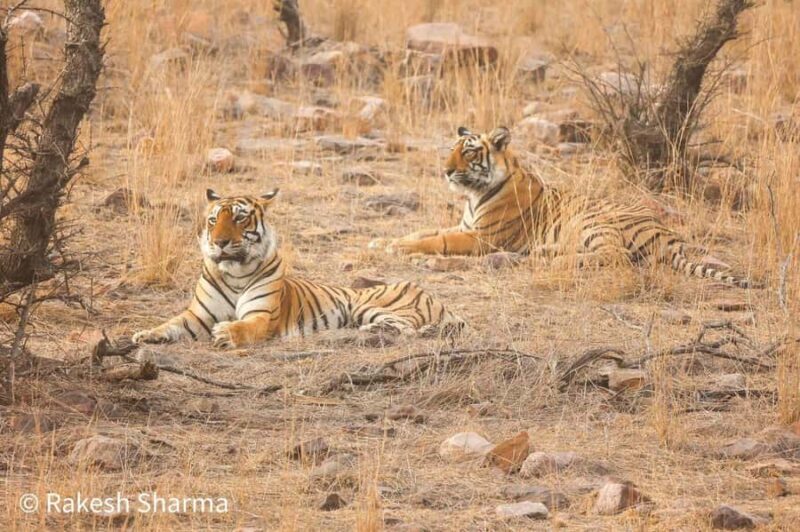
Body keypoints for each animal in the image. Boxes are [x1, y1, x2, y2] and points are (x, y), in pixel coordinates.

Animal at [132, 189, 463, 349]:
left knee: (408, 327)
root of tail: (429, 294)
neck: (235, 272)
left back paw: (371, 331)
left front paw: (225, 332)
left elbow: (244, 326)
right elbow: (170, 324)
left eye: (239, 218)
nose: (220, 242)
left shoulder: (262, 316)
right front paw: (144, 335)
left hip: (373, 305)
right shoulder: (197, 316)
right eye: (213, 220)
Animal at [369, 126, 758, 288]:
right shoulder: (465, 227)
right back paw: (544, 252)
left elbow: (437, 240)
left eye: (468, 152)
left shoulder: (481, 237)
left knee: (614, 257)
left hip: (595, 220)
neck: (474, 194)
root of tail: (672, 239)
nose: (446, 171)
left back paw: (550, 259)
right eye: (452, 149)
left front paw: (400, 248)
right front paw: (383, 241)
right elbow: (425, 230)